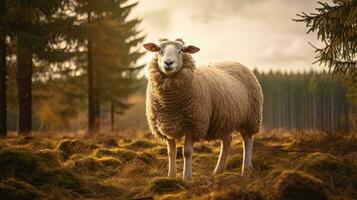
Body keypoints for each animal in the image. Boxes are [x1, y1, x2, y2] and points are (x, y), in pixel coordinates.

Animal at [143, 38, 262, 182]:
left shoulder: (193, 124)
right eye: (160, 50)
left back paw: (246, 171)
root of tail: (235, 62)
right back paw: (218, 171)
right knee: (227, 141)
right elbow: (171, 152)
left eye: (181, 50)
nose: (168, 63)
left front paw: (187, 178)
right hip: (224, 119)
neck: (171, 105)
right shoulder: (166, 126)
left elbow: (187, 153)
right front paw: (171, 177)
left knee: (247, 141)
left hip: (250, 117)